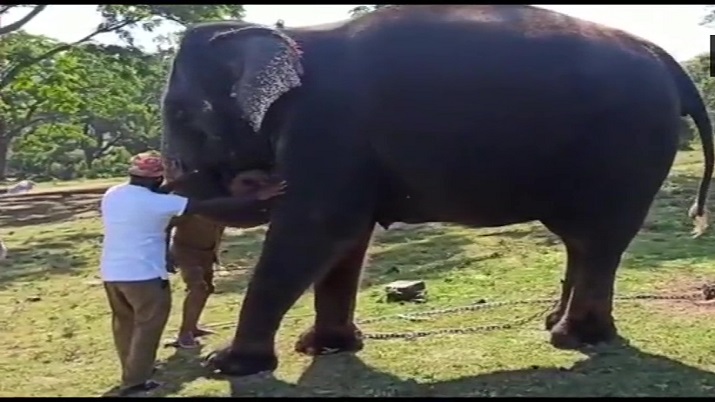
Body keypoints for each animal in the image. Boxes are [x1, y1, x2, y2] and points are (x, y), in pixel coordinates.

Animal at [161, 3, 715, 376]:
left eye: (183, 116)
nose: (262, 183)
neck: (289, 37)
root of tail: (666, 60)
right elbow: (346, 238)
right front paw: (325, 347)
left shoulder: (327, 126)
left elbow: (319, 227)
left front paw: (226, 364)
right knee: (581, 240)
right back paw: (556, 324)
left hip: (628, 145)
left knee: (597, 238)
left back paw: (573, 339)